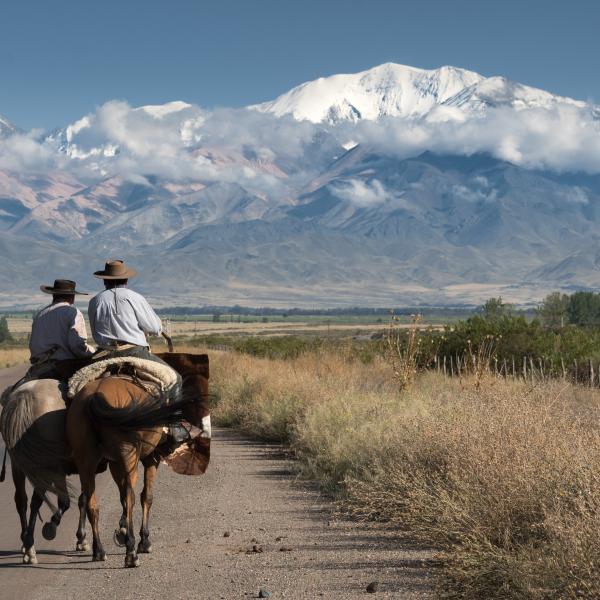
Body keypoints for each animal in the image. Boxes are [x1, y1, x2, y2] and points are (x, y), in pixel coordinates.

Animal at [66, 354, 210, 568]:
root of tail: (94, 396)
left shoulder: (115, 463)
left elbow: (121, 498)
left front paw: (122, 531)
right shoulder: (151, 459)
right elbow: (146, 497)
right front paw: (143, 540)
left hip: (86, 460)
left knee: (92, 501)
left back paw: (99, 550)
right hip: (129, 456)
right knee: (130, 497)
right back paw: (131, 553)